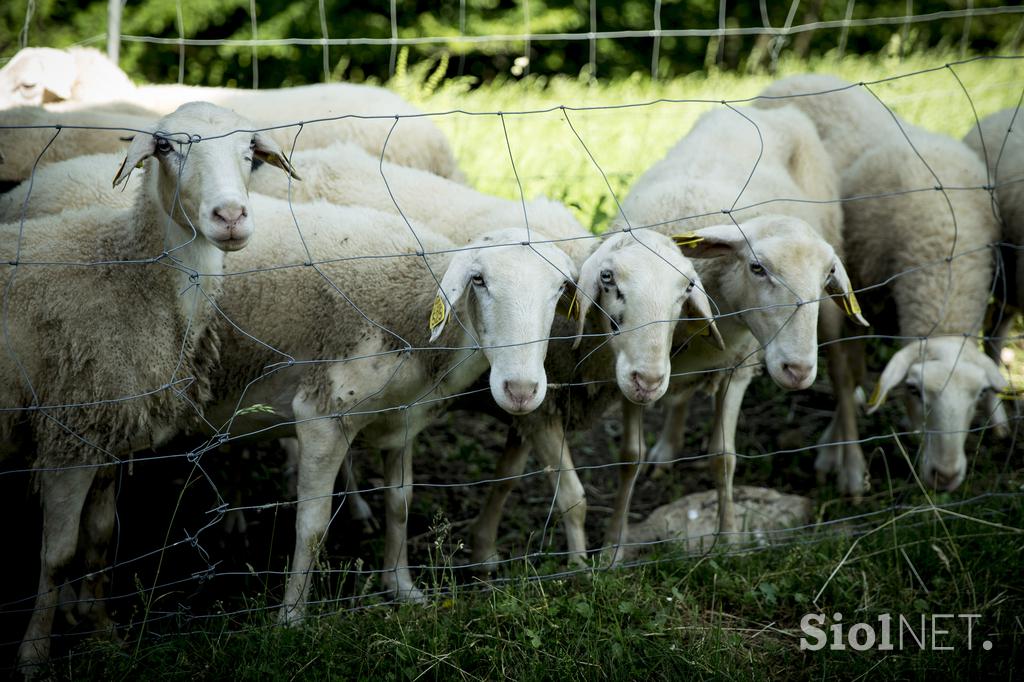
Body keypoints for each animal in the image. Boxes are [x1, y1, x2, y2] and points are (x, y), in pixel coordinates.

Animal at [2, 102, 299, 667]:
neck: (126, 271)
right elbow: (58, 555)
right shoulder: (69, 431)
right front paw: (32, 653)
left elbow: (99, 539)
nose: (231, 217)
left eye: (250, 150)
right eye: (165, 147)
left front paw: (101, 632)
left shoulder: (108, 430)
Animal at [831, 124, 1007, 491]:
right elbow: (845, 374)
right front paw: (848, 467)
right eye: (913, 390)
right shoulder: (854, 296)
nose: (946, 476)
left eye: (980, 393)